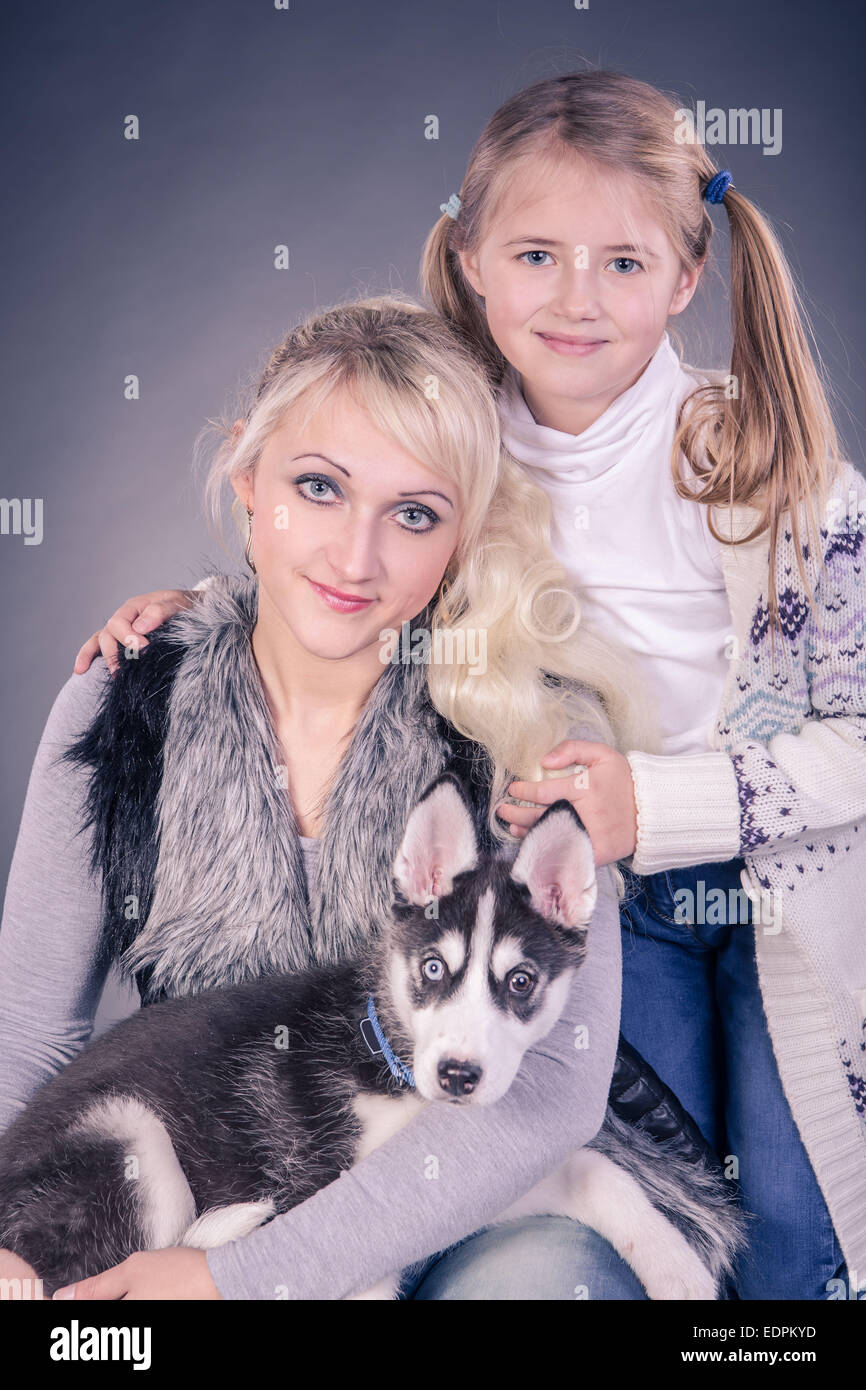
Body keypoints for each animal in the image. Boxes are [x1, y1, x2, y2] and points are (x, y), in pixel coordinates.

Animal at [0, 778, 745, 1295]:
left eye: (521, 981)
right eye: (434, 968)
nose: (458, 1075)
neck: (397, 1069)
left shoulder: (454, 1189)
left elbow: (596, 1170)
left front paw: (679, 1272)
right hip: (131, 1139)